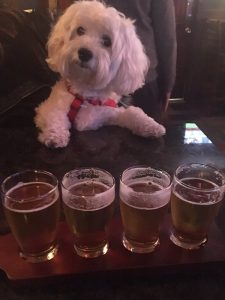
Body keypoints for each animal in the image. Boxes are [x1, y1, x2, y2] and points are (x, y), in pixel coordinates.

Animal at [35, 0, 165, 148]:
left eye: (107, 41)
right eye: (80, 30)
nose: (84, 53)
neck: (85, 93)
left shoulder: (108, 113)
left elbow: (132, 112)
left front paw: (151, 125)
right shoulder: (47, 107)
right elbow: (55, 114)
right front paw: (55, 135)